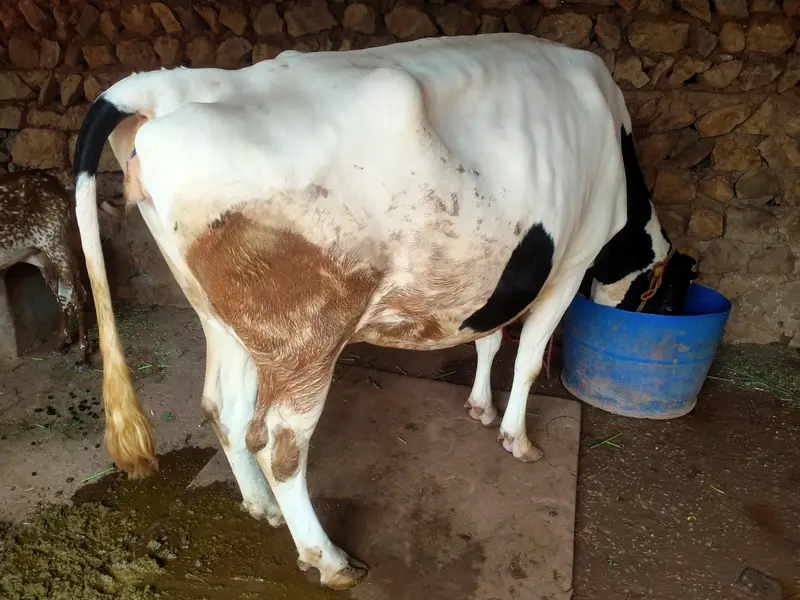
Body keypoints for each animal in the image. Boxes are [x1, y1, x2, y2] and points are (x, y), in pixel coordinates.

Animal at [0, 171, 90, 369]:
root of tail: (55, 183)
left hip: (55, 245)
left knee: (77, 298)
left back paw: (82, 355)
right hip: (42, 257)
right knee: (62, 297)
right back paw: (62, 342)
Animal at [72, 33, 697, 590]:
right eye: (666, 298)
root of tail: (159, 89)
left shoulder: (500, 278)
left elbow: (489, 337)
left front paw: (480, 407)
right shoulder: (569, 264)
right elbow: (528, 361)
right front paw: (518, 438)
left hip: (223, 318)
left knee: (221, 407)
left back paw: (259, 507)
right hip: (307, 336)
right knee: (277, 441)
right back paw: (328, 560)